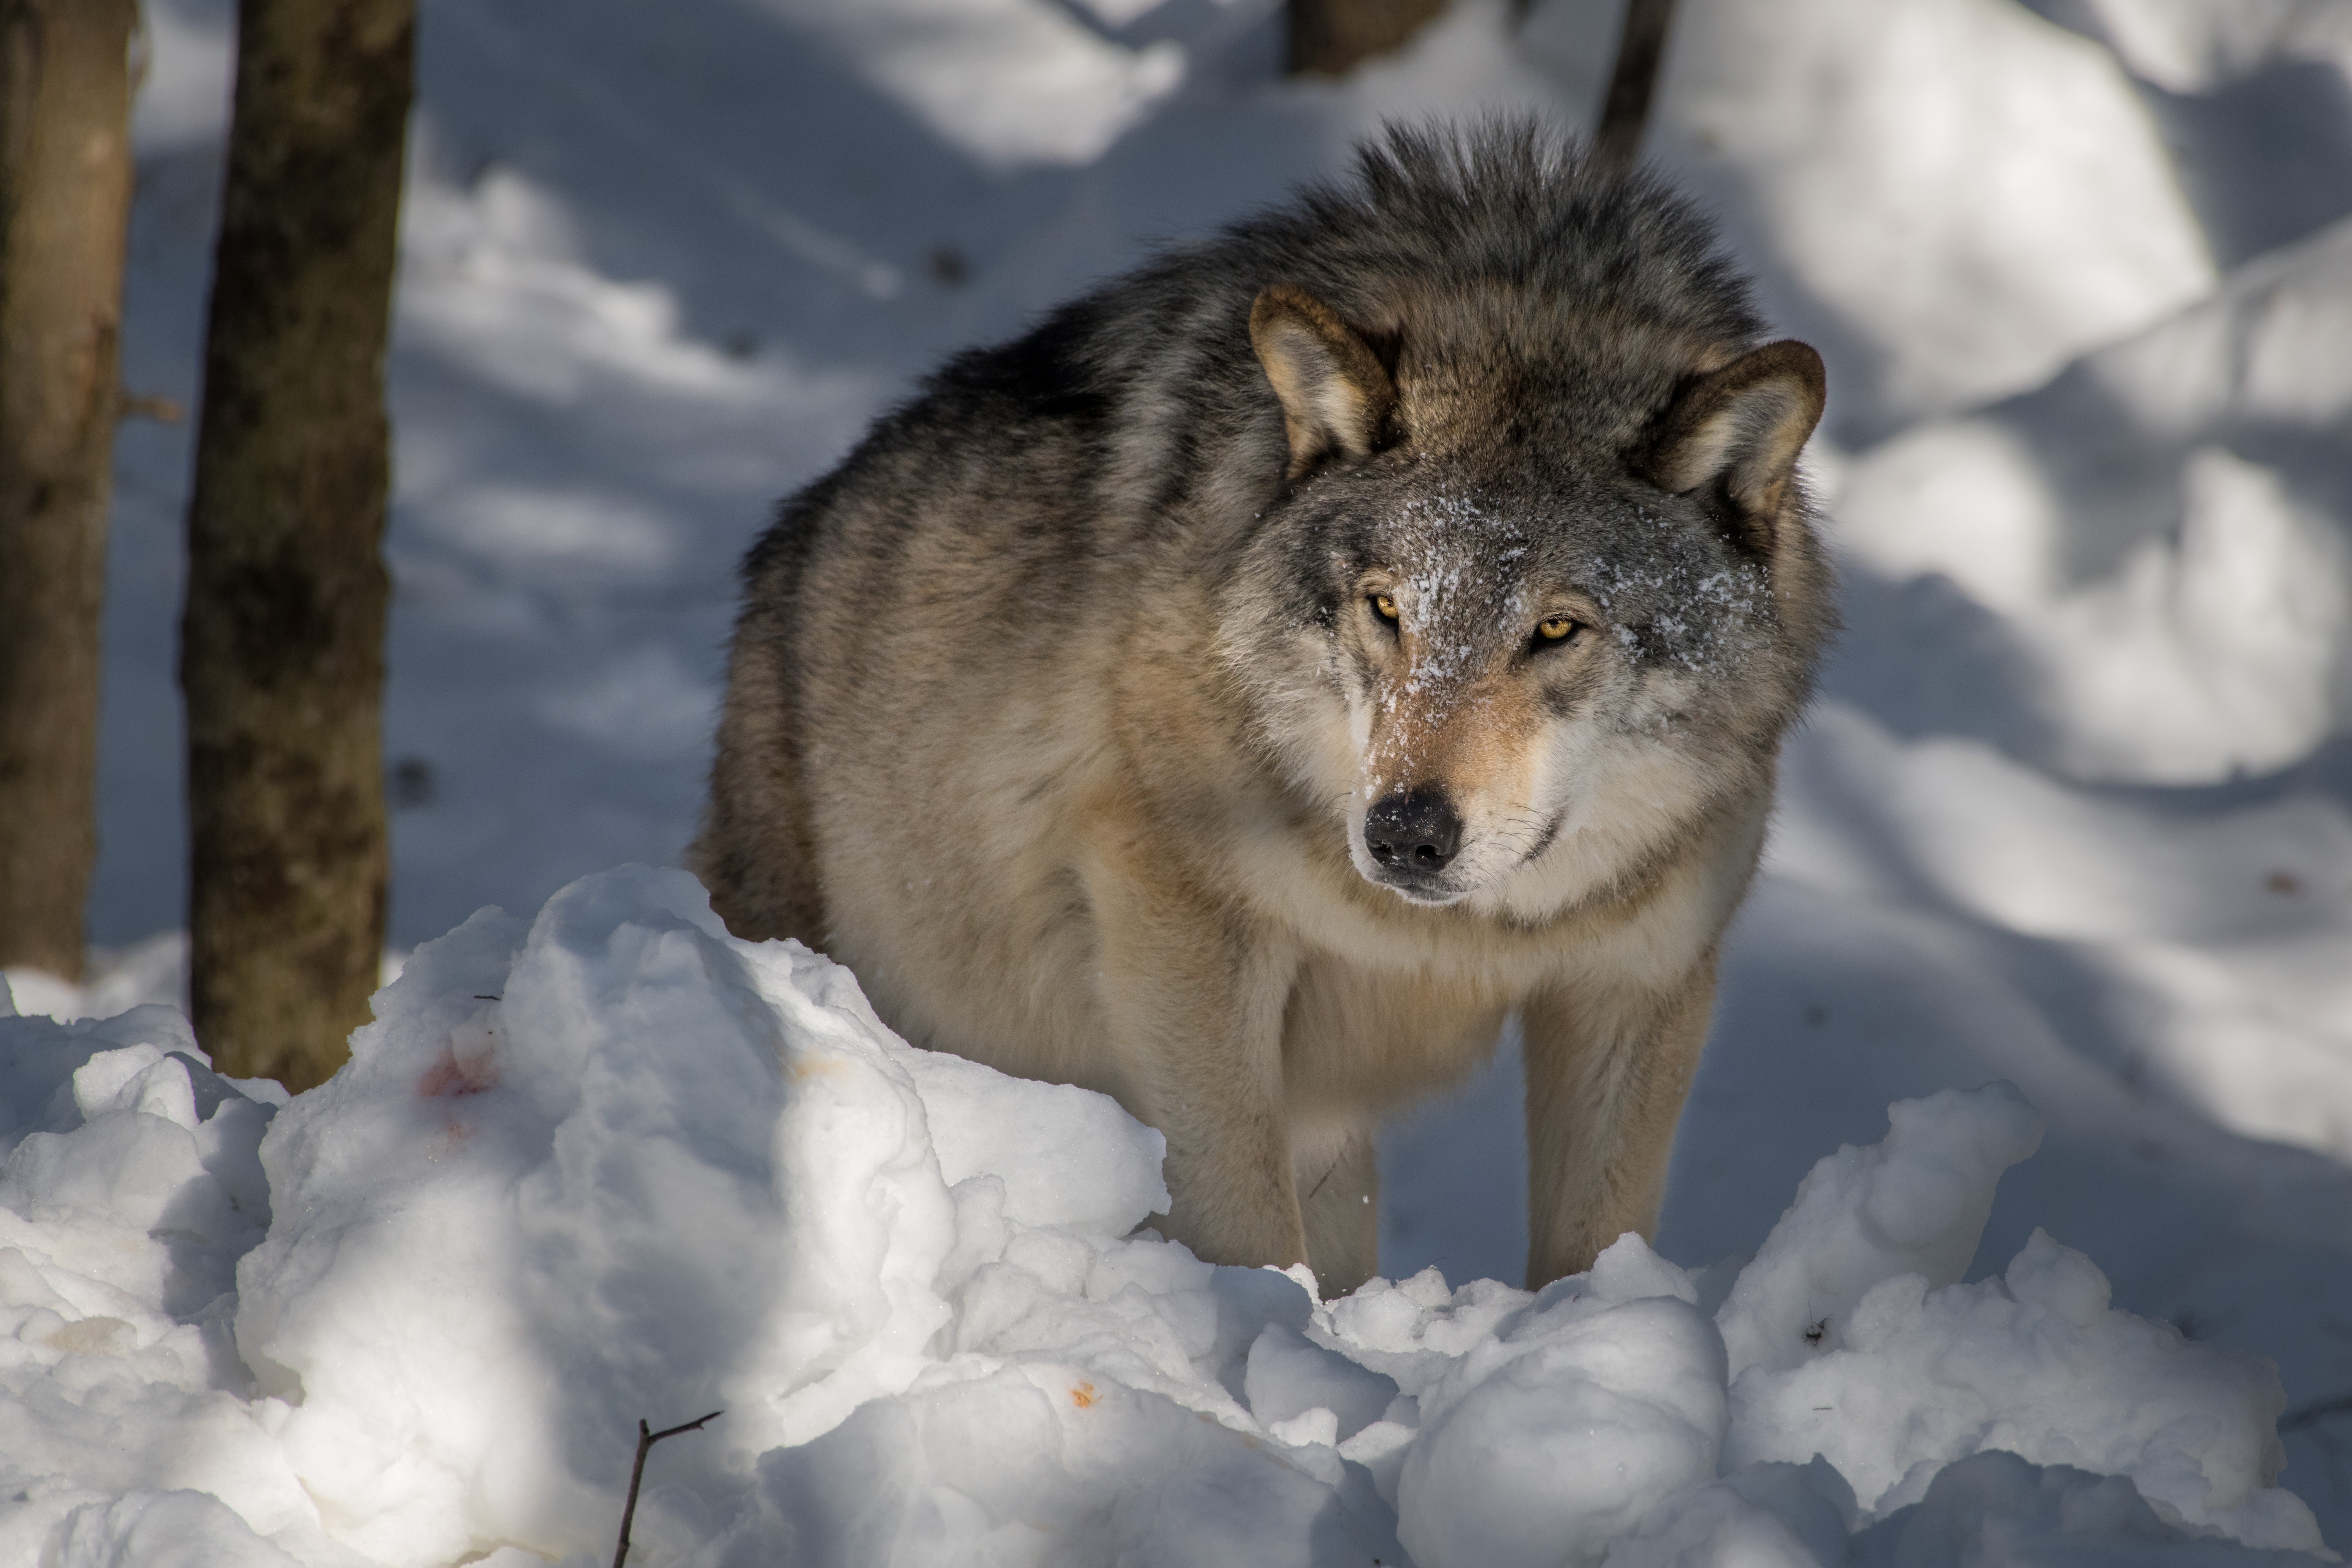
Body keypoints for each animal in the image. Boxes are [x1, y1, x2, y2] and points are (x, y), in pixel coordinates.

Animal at [696, 123, 1834, 1297]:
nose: (1406, 833)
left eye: (1557, 628)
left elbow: (1594, 1252)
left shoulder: (1635, 987)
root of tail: (785, 547)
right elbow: (1242, 1221)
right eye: (1386, 608)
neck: (1450, 934)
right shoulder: (1182, 929)